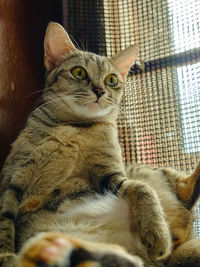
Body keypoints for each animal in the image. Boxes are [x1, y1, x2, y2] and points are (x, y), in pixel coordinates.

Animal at [0, 22, 198, 267]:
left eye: (111, 79)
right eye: (79, 72)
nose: (100, 90)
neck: (76, 126)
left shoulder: (111, 174)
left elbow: (143, 189)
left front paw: (157, 232)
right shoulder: (11, 182)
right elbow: (4, 223)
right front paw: (6, 256)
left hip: (144, 169)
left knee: (184, 191)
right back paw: (50, 251)